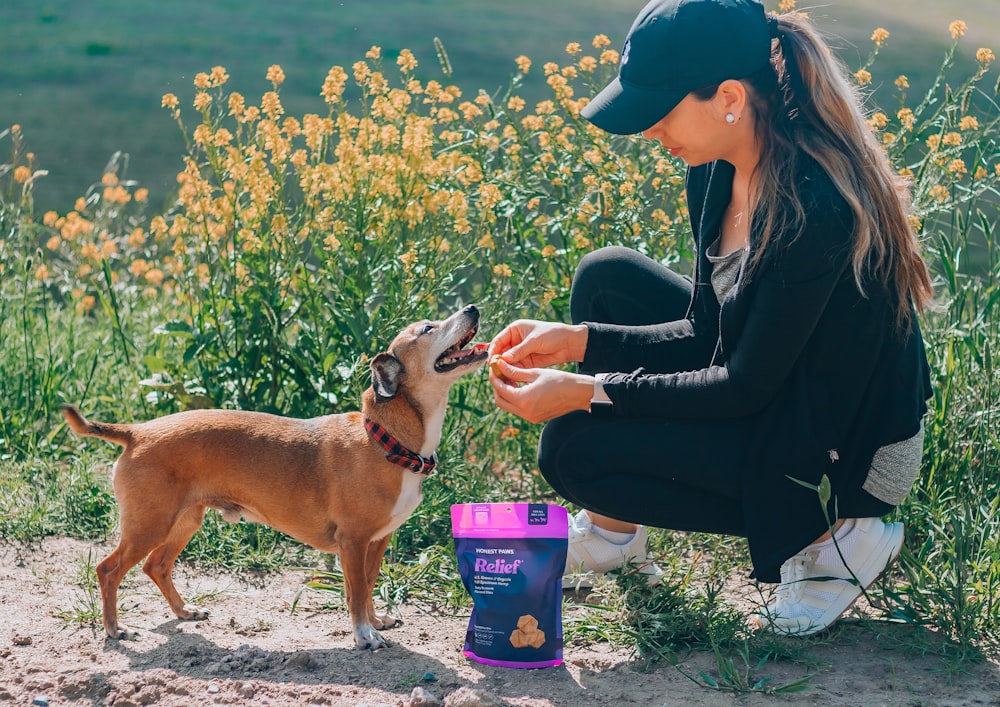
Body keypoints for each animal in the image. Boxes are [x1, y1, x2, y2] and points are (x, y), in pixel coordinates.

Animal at [59, 304, 488, 648]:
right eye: (428, 328)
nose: (473, 307)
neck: (384, 438)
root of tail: (136, 431)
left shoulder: (376, 541)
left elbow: (367, 587)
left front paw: (375, 620)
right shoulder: (352, 542)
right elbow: (354, 593)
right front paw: (364, 635)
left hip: (183, 521)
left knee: (156, 566)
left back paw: (183, 612)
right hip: (150, 525)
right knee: (108, 570)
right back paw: (114, 629)